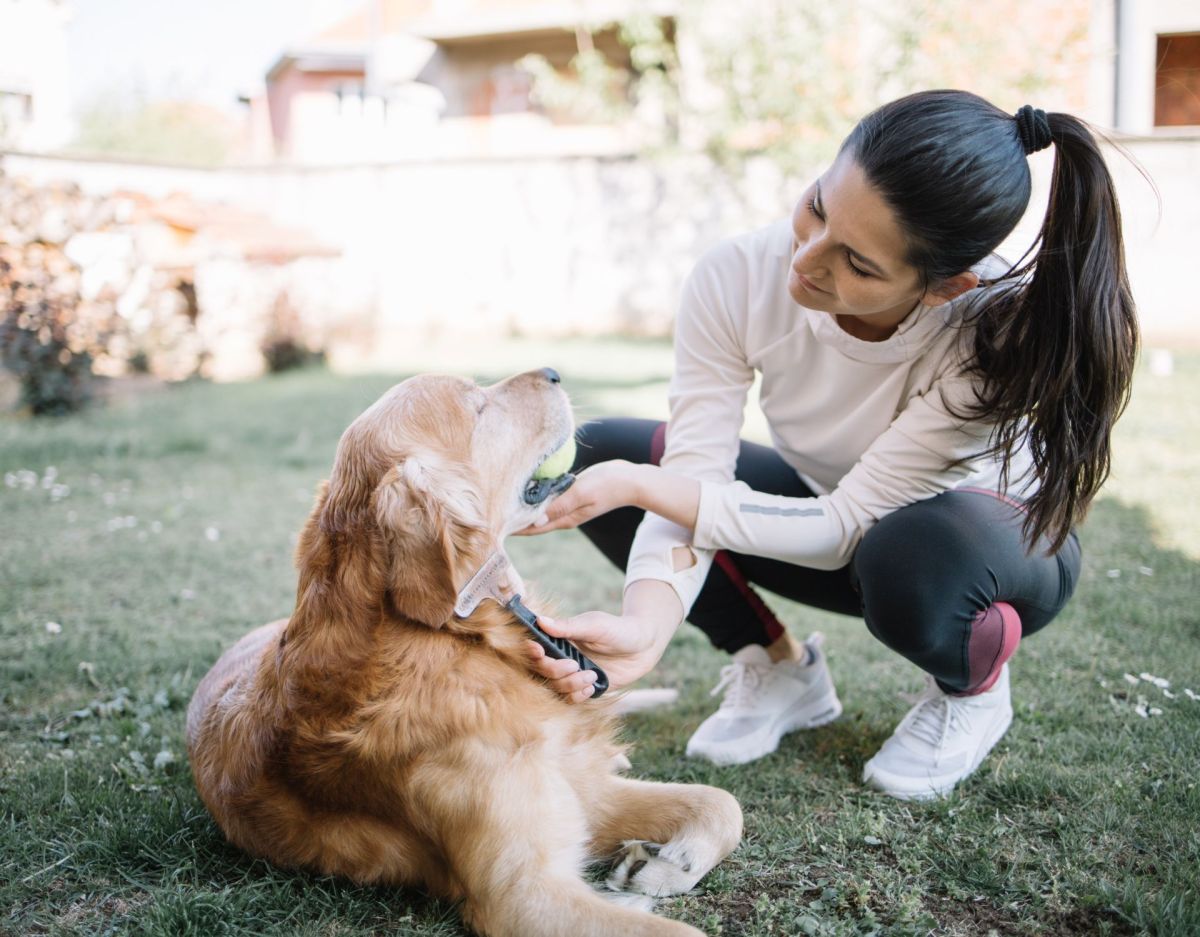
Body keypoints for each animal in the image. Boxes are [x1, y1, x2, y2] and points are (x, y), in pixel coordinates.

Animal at [186, 367, 739, 935]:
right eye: (477, 406)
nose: (554, 372)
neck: (454, 637)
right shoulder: (524, 896)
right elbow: (686, 928)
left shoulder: (586, 792)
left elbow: (720, 802)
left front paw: (665, 866)